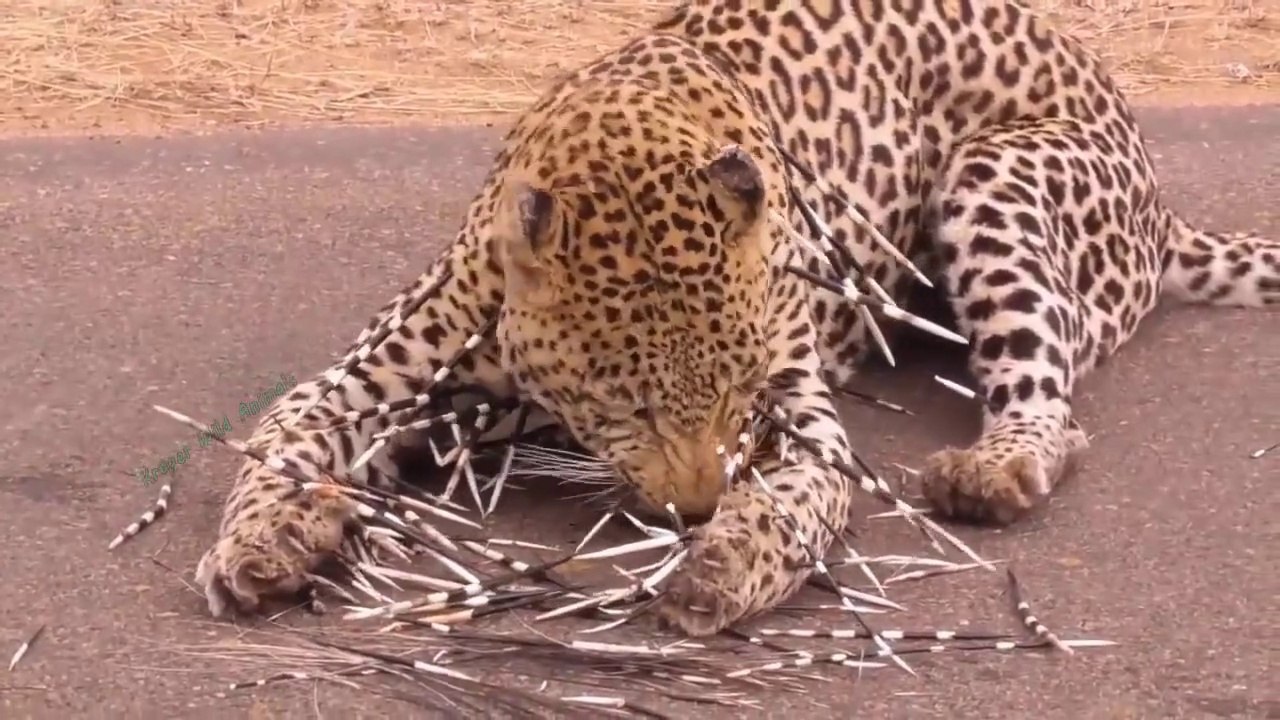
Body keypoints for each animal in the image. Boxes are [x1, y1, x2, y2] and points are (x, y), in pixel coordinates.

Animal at [191, 0, 1278, 636]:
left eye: (743, 395)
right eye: (621, 403)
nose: (695, 508)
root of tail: (1158, 200)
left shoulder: (803, 426)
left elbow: (794, 504)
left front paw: (717, 568)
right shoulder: (372, 376)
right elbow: (283, 439)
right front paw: (264, 543)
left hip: (999, 176)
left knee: (1047, 397)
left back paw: (992, 470)